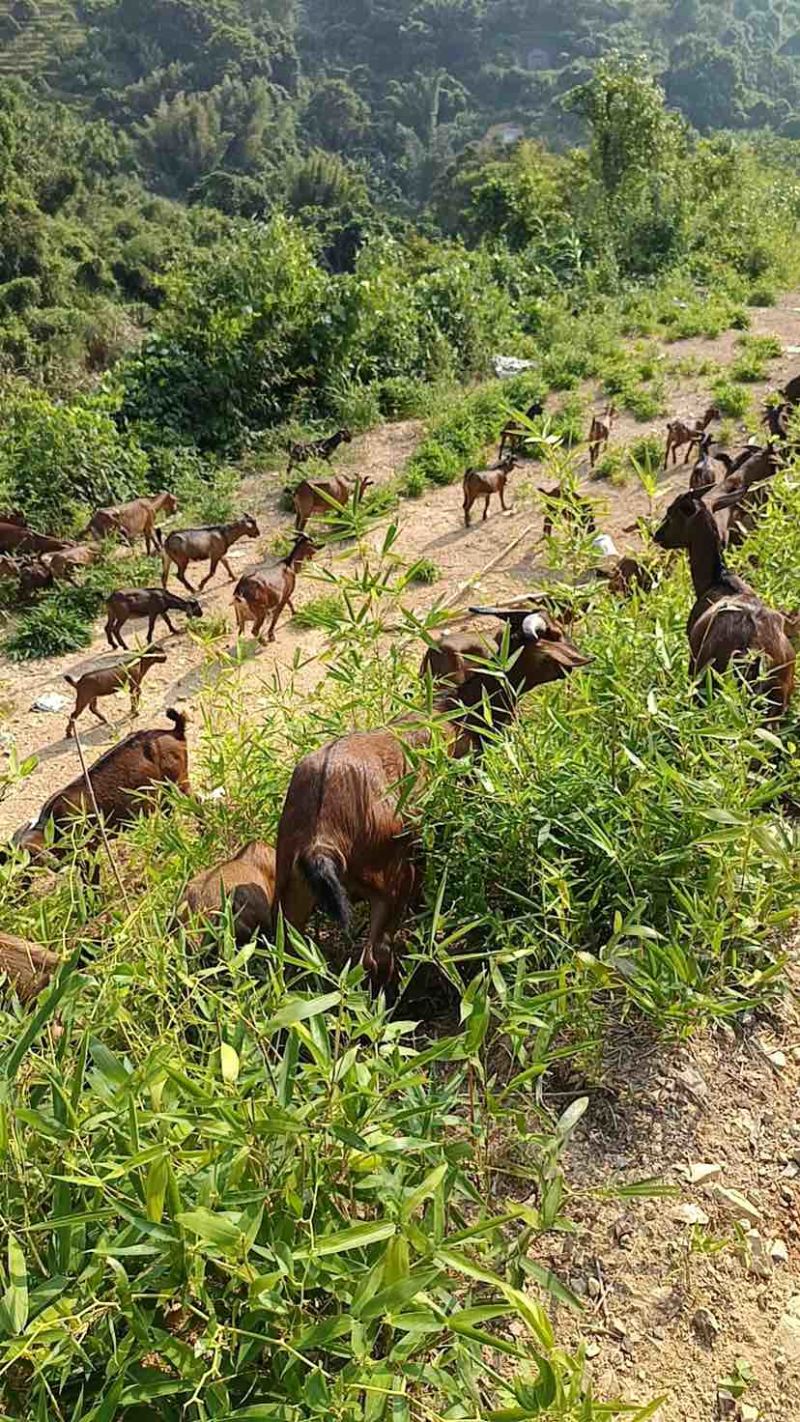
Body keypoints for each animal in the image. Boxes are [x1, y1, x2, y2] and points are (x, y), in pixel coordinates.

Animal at [5, 708, 188, 864]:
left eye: (24, 858)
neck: (53, 827)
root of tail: (174, 731)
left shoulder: (87, 846)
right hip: (164, 796)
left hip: (178, 783)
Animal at [278, 608, 591, 989]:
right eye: (555, 633)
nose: (581, 657)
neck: (460, 711)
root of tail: (320, 838)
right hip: (391, 879)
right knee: (376, 955)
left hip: (293, 895)